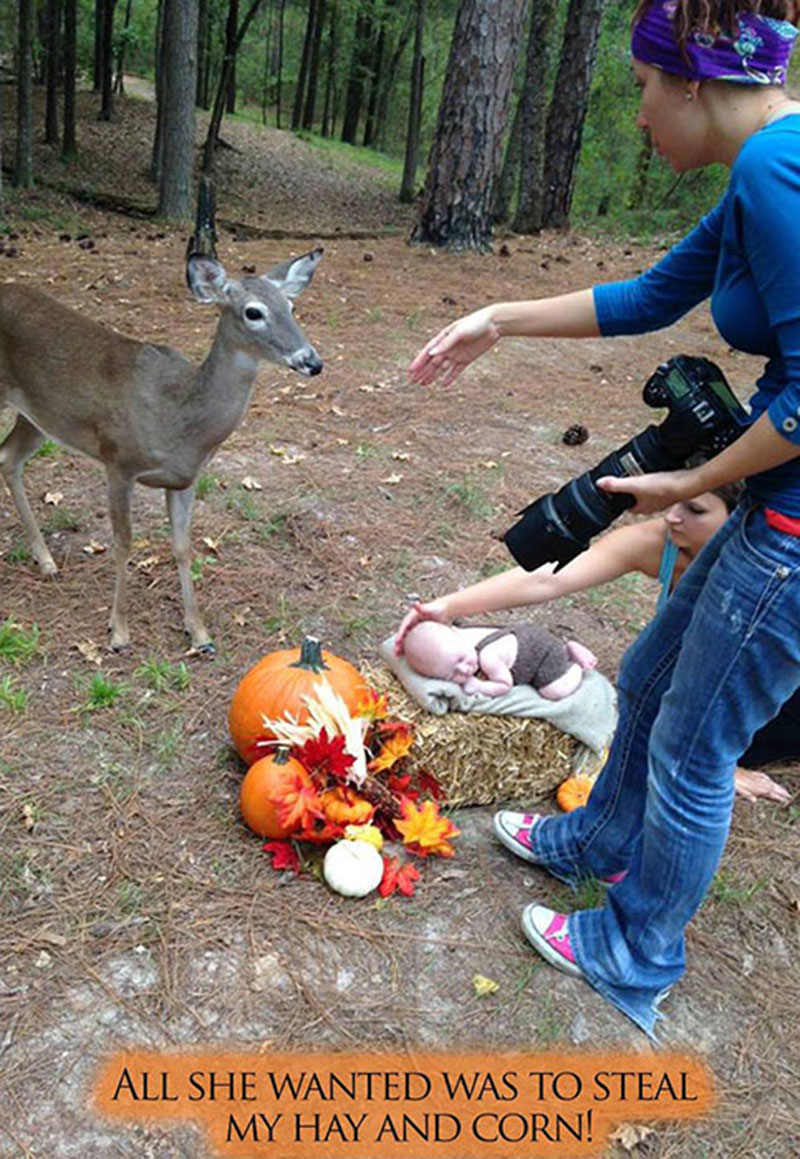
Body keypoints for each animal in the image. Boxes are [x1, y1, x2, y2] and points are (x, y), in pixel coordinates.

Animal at [0, 246, 324, 653]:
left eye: (291, 306)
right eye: (253, 312)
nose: (312, 361)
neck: (178, 419)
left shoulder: (185, 479)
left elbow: (183, 547)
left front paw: (199, 633)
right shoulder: (118, 460)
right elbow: (123, 542)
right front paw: (119, 632)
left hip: (39, 417)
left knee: (8, 458)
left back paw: (46, 561)